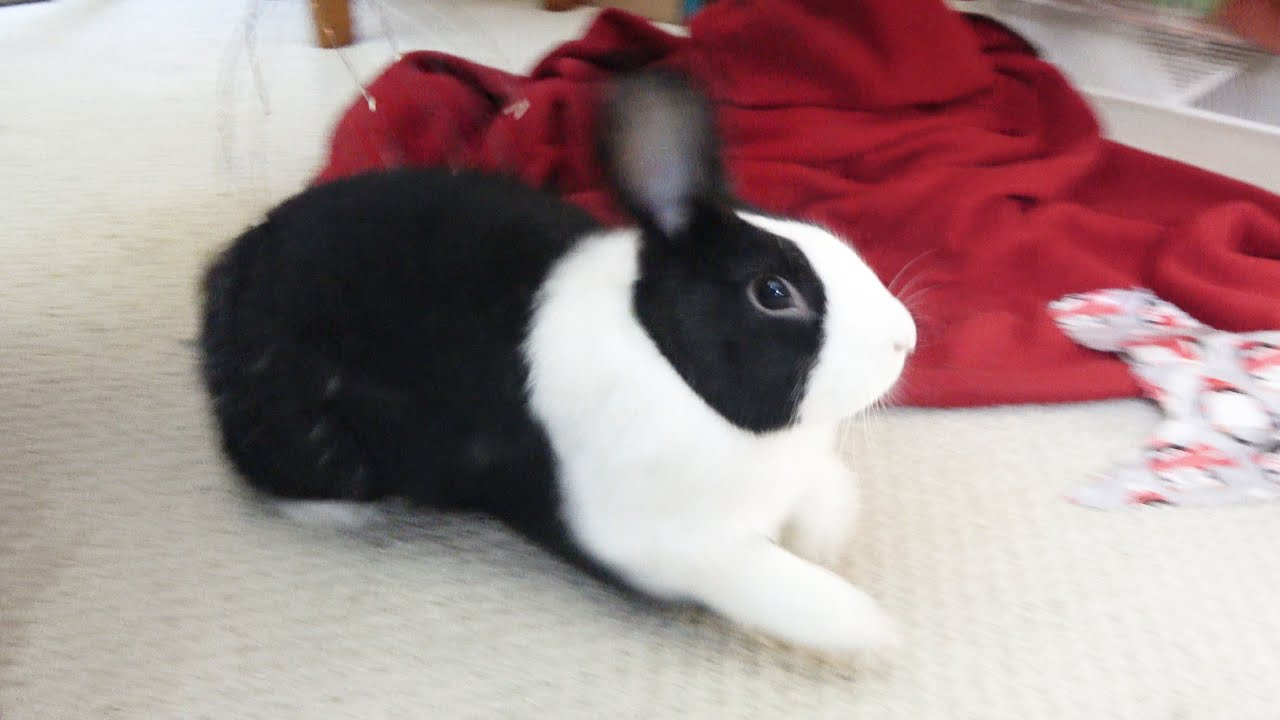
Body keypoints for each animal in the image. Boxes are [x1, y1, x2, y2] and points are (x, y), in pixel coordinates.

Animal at [199, 70, 916, 655]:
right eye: (772, 293)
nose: (905, 338)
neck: (672, 364)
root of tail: (227, 277)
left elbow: (826, 489)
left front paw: (826, 538)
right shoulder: (668, 546)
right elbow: (765, 581)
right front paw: (865, 627)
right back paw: (348, 513)